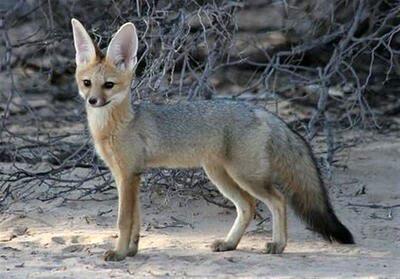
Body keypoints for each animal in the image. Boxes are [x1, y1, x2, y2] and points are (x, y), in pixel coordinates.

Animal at [71, 18, 354, 262]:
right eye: (87, 83)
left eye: (108, 85)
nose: (92, 101)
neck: (118, 125)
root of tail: (257, 109)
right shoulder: (127, 176)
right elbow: (136, 220)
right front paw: (130, 251)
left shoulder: (129, 175)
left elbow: (123, 221)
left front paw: (118, 253)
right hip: (220, 175)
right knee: (248, 206)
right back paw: (230, 243)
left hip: (245, 176)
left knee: (277, 201)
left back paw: (278, 245)